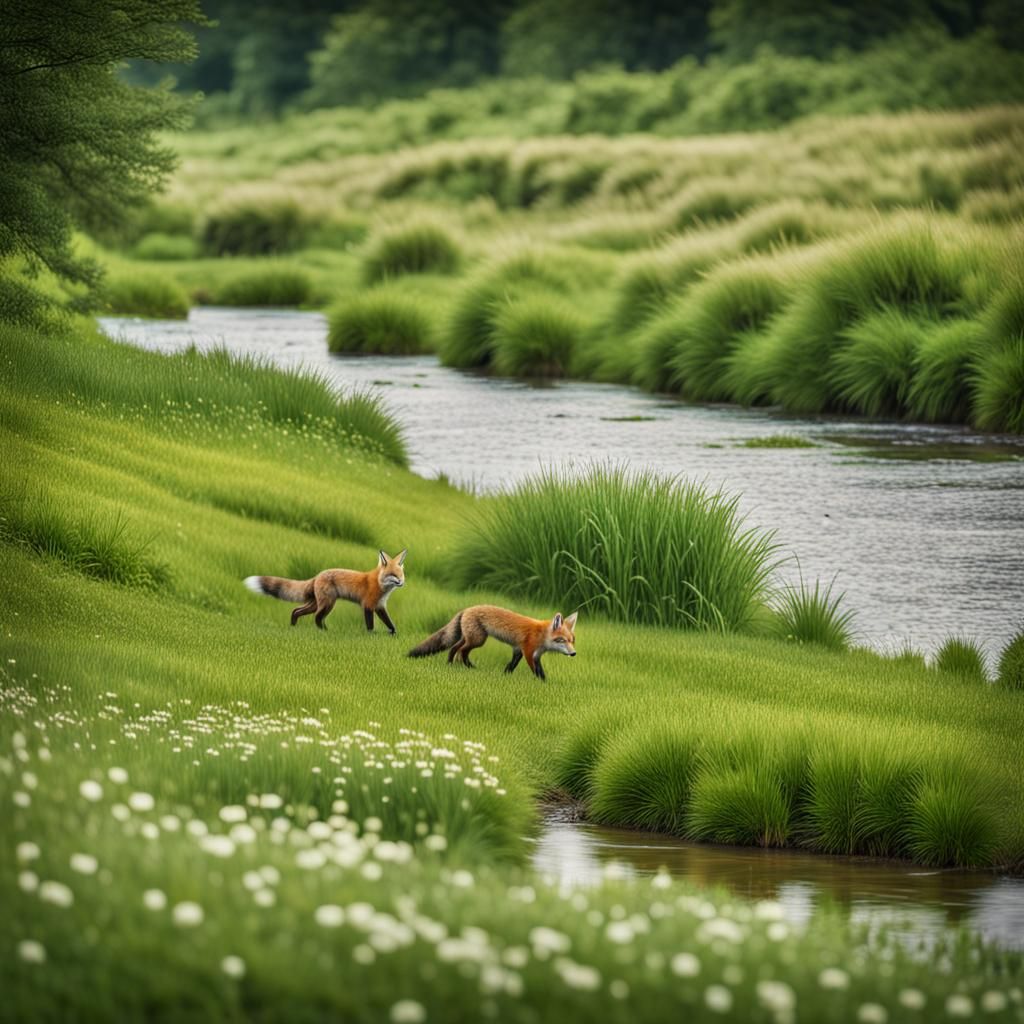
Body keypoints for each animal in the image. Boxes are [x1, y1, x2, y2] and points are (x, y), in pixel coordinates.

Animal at [244, 549, 407, 633]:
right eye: (393, 575)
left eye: (401, 575)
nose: (401, 582)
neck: (380, 584)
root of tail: (317, 576)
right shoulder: (368, 605)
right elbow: (370, 625)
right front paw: (370, 635)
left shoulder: (379, 606)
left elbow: (389, 622)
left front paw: (394, 634)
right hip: (327, 604)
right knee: (317, 617)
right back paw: (325, 631)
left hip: (316, 603)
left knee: (296, 611)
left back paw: (293, 626)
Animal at [408, 605, 577, 680]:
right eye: (562, 640)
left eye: (572, 641)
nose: (574, 653)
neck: (542, 635)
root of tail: (467, 609)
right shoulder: (528, 651)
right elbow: (537, 671)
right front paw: (543, 684)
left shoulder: (521, 651)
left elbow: (511, 665)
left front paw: (505, 676)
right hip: (477, 640)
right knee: (462, 651)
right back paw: (468, 667)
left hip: (469, 638)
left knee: (454, 649)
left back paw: (450, 664)